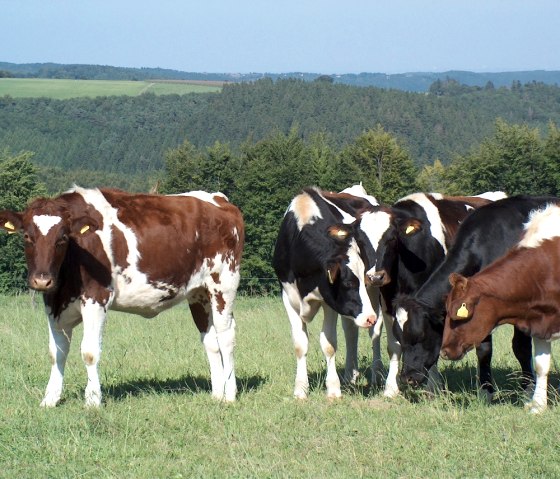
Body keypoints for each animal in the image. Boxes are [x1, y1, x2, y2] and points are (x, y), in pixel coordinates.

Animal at [0, 188, 245, 408]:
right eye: (27, 236)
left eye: (62, 238)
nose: (42, 280)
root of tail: (218, 199)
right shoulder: (54, 304)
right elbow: (56, 353)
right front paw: (50, 399)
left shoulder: (97, 298)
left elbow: (89, 352)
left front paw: (92, 401)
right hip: (199, 293)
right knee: (210, 340)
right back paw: (216, 394)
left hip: (224, 284)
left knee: (226, 336)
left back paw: (229, 395)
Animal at [270, 188, 398, 402]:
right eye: (347, 283)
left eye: (362, 277)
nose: (369, 317)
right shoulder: (288, 297)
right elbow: (300, 344)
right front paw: (300, 389)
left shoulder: (329, 302)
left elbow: (329, 344)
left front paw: (333, 389)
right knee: (351, 330)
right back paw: (350, 375)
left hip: (374, 293)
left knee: (375, 332)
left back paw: (376, 375)